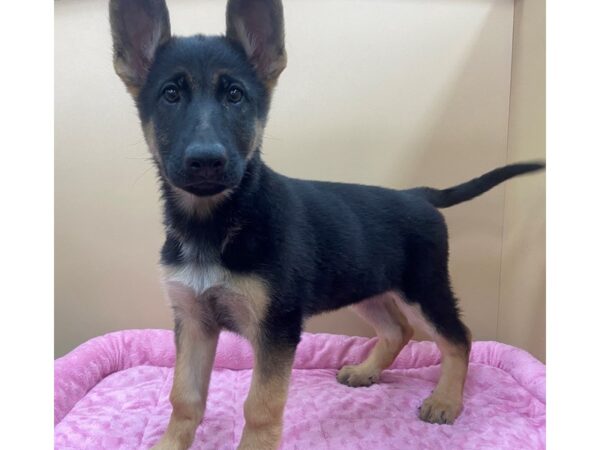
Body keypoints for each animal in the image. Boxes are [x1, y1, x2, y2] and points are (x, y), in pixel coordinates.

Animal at [109, 0, 544, 450]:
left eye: (234, 95)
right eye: (170, 95)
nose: (206, 160)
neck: (214, 223)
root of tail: (418, 194)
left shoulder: (276, 329)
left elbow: (260, 405)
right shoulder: (193, 322)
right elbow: (185, 397)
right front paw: (169, 444)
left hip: (424, 288)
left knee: (458, 337)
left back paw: (445, 400)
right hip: (369, 286)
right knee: (399, 330)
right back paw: (367, 370)